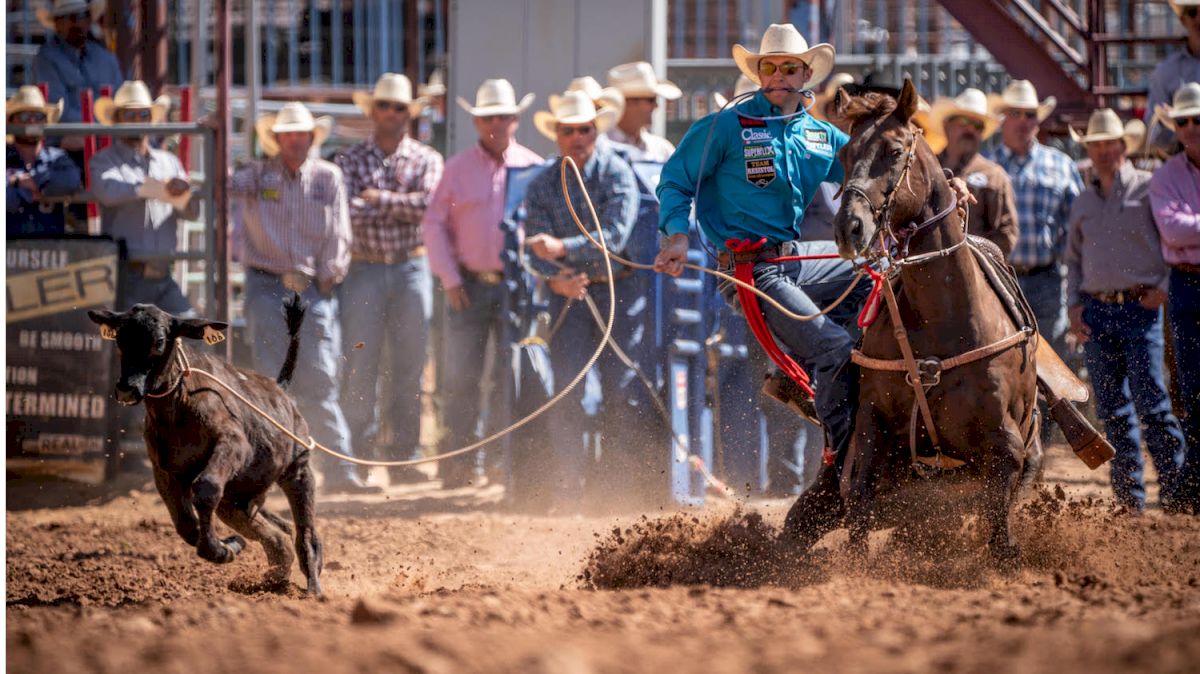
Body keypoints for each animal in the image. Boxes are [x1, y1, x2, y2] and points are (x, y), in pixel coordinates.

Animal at [825, 78, 1041, 566]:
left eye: (894, 150)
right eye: (845, 153)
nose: (850, 228)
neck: (944, 320)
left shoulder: (1006, 447)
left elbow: (1000, 532)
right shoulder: (873, 425)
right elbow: (858, 499)